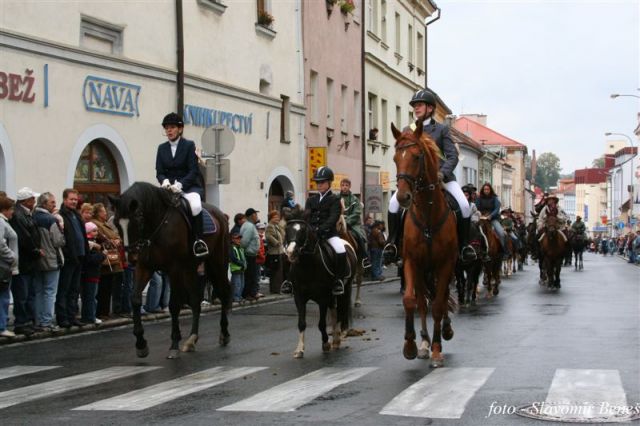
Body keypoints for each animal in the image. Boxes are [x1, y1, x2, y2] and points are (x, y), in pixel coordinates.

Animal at [109, 181, 231, 358]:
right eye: (117, 223)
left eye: (138, 219)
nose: (131, 258)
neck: (156, 226)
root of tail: (221, 215)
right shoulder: (144, 267)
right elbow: (135, 299)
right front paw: (141, 343)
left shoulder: (174, 269)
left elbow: (174, 305)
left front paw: (174, 344)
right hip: (190, 269)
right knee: (195, 300)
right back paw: (192, 339)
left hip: (217, 263)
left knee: (223, 293)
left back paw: (224, 333)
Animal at [390, 121, 456, 368]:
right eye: (395, 158)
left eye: (417, 156)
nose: (403, 197)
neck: (427, 212)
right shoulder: (412, 262)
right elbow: (411, 301)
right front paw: (410, 345)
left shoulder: (445, 264)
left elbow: (437, 306)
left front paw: (437, 351)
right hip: (422, 271)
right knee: (421, 302)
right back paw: (425, 343)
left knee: (441, 299)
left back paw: (444, 332)